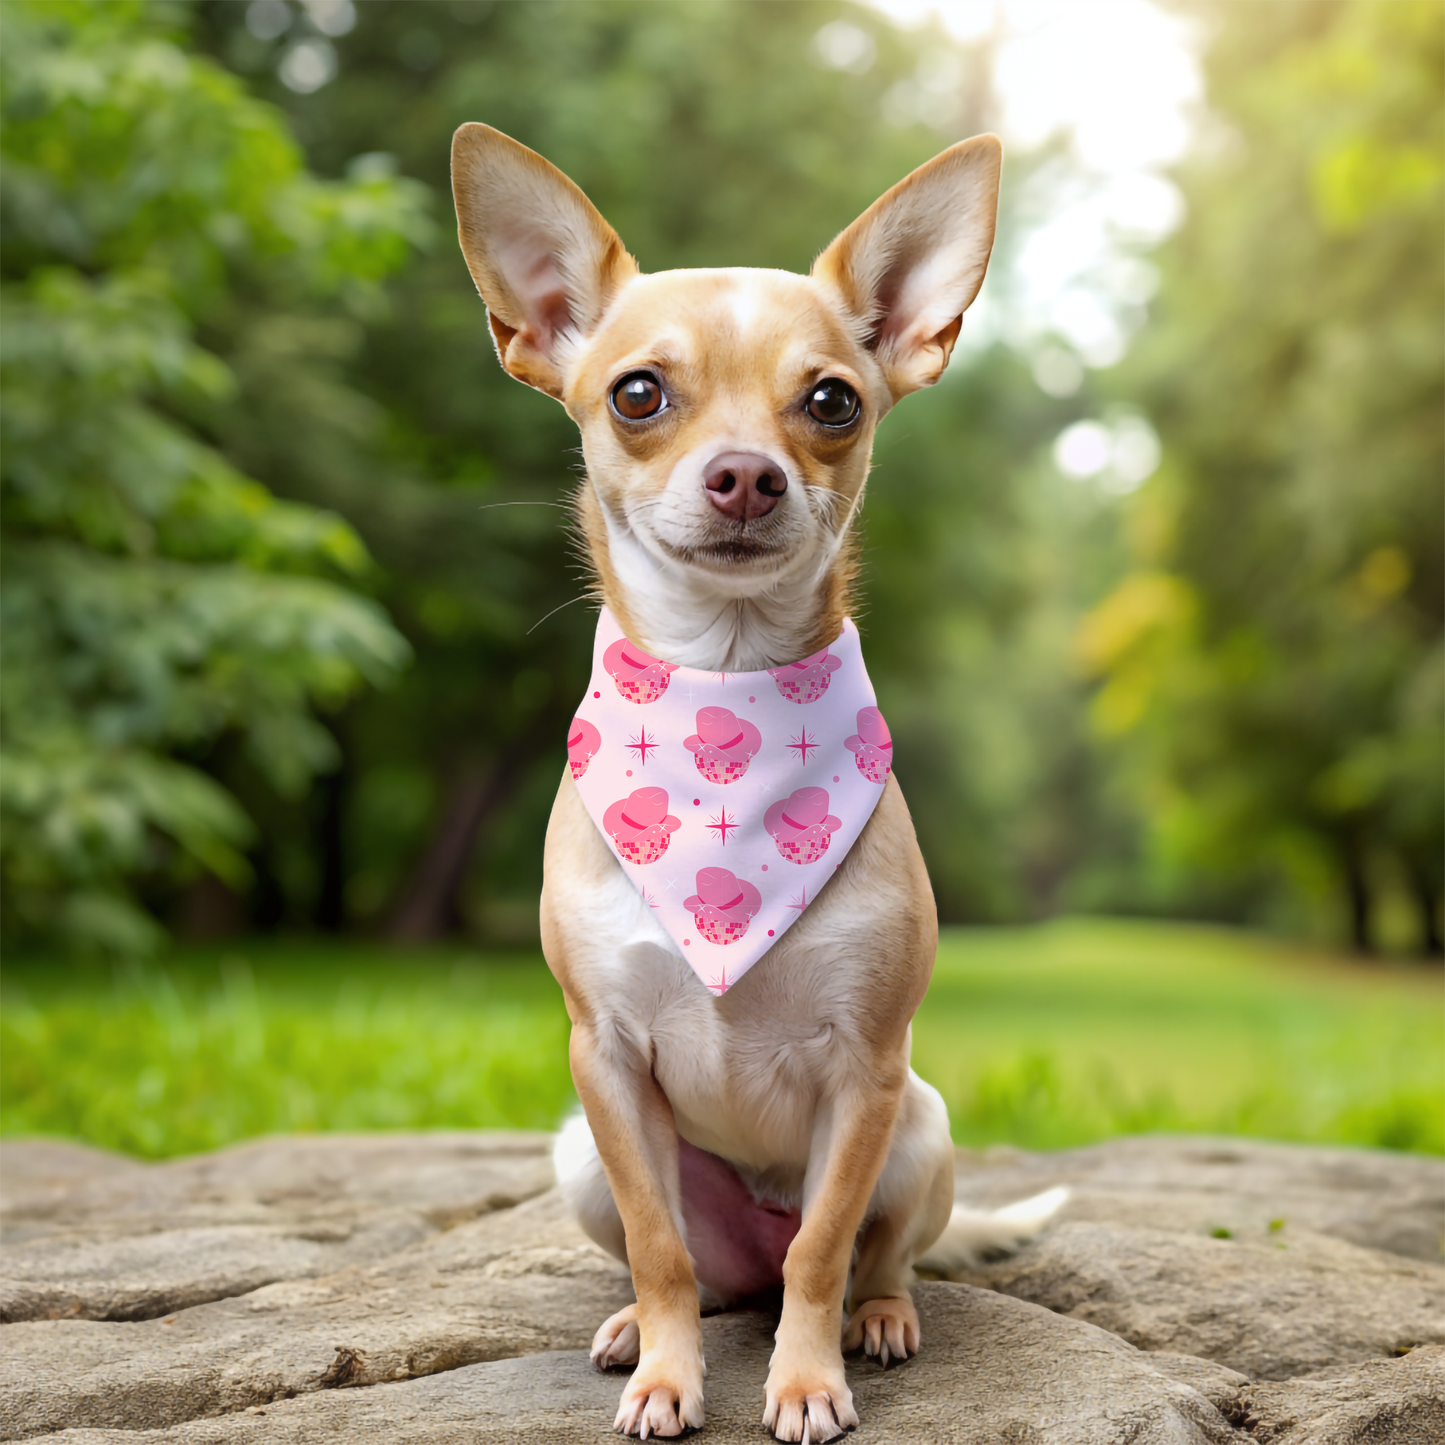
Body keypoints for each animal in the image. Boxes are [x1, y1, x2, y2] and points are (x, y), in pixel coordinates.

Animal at [450, 130, 1063, 1439]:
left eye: (831, 400)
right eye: (636, 393)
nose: (745, 475)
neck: (722, 687)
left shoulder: (864, 1072)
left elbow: (820, 1250)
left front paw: (807, 1378)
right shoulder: (603, 1060)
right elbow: (658, 1245)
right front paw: (667, 1375)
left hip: (920, 1123)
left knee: (864, 1252)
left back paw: (879, 1318)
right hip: (578, 1150)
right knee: (713, 1269)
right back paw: (635, 1328)